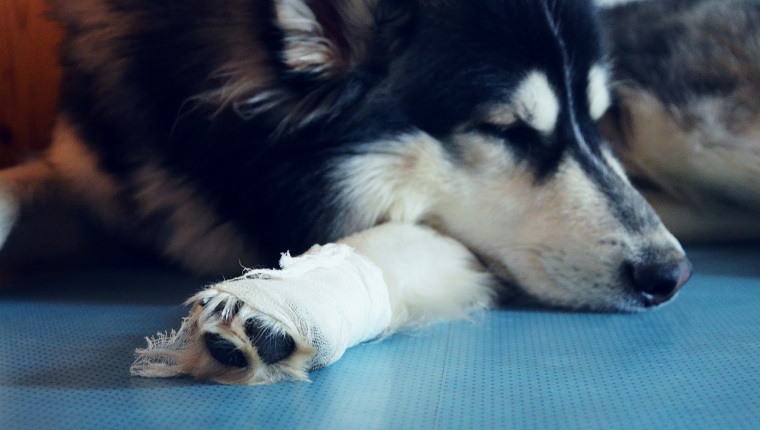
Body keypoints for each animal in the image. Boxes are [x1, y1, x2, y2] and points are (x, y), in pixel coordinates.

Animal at [0, 0, 696, 382]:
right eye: (506, 129)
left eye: (597, 119)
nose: (671, 275)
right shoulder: (96, 173)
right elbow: (19, 187)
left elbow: (385, 241)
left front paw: (279, 302)